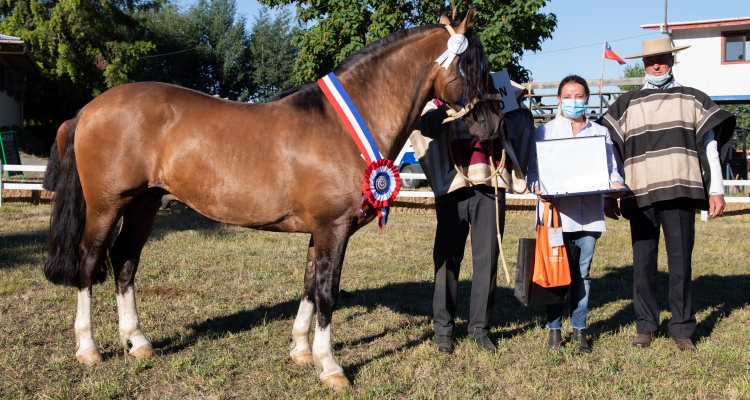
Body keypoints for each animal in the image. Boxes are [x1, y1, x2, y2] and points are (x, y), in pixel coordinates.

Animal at [44, 10, 500, 390]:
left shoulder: (320, 231)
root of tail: (88, 110)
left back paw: (137, 342)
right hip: (107, 206)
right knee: (89, 261)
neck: (344, 125)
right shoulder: (334, 229)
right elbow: (328, 293)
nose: (493, 123)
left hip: (144, 204)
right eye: (473, 66)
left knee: (125, 261)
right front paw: (331, 368)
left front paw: (301, 352)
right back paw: (88, 349)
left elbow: (310, 285)